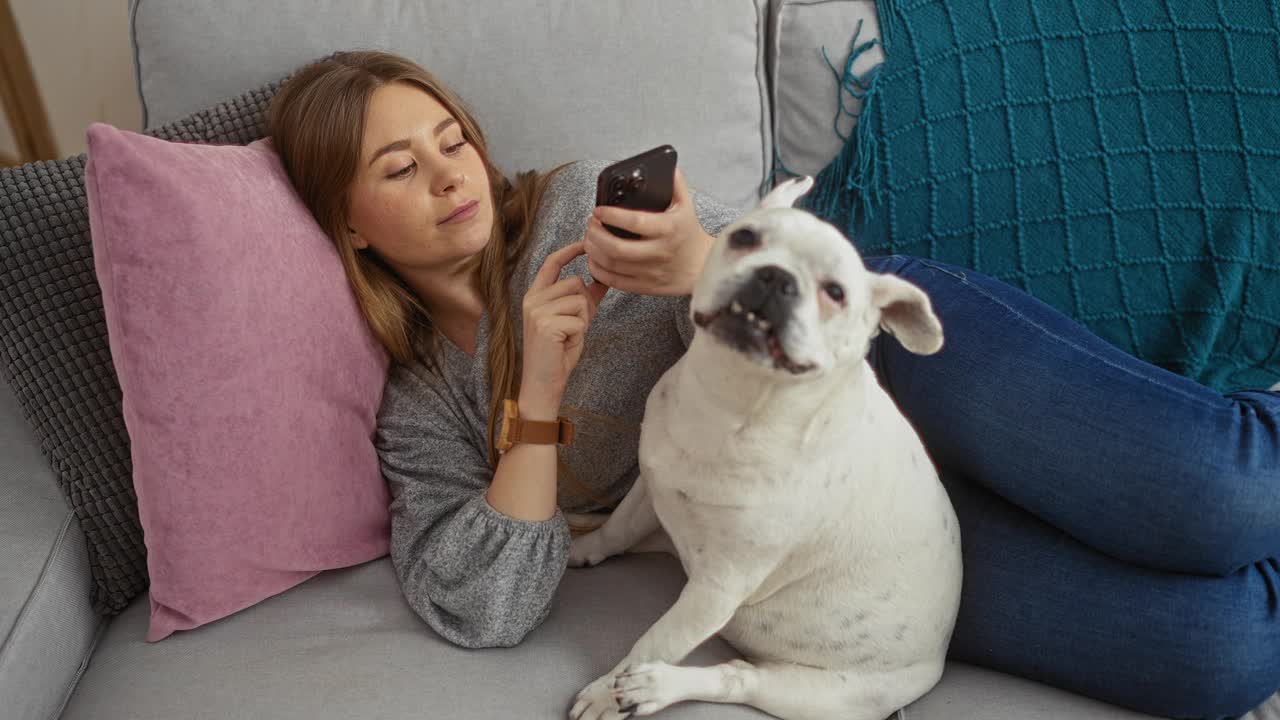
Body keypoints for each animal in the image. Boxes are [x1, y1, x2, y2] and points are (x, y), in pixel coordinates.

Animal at [570, 176, 962, 717]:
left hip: (813, 695)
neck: (734, 403)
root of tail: (938, 659)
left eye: (835, 292)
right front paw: (585, 548)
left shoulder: (718, 588)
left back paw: (654, 688)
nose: (776, 277)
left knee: (733, 678)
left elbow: (652, 642)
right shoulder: (650, 484)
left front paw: (607, 694)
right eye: (744, 238)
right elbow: (616, 529)